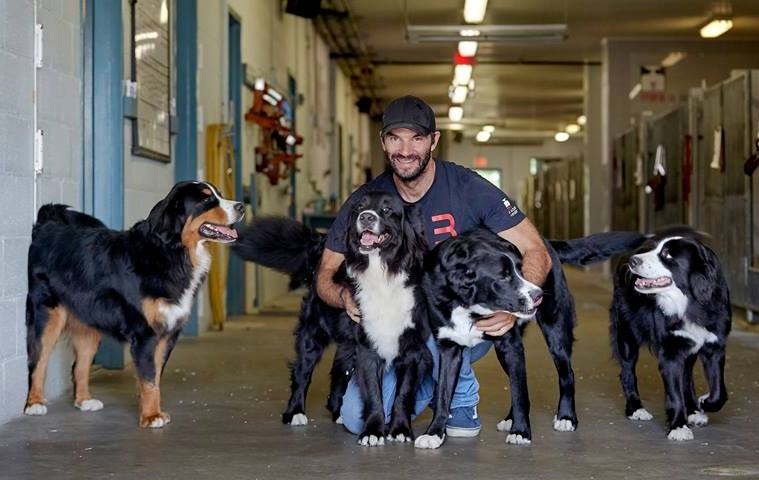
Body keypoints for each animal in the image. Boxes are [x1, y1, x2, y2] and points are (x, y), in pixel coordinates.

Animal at [24, 180, 243, 428]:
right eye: (206, 199)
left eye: (220, 194)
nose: (241, 206)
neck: (171, 253)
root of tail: (47, 227)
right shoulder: (145, 332)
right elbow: (149, 378)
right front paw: (151, 416)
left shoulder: (167, 334)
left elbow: (154, 376)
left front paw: (149, 409)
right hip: (47, 317)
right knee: (38, 362)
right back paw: (35, 404)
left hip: (89, 324)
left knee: (78, 366)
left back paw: (85, 400)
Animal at [412, 229, 652, 450]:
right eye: (503, 276)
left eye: (521, 269)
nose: (538, 296)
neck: (468, 305)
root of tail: (547, 241)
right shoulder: (449, 348)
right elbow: (443, 394)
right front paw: (434, 433)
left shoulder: (510, 344)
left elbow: (520, 394)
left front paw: (521, 432)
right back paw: (510, 419)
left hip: (556, 330)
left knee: (566, 375)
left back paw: (566, 417)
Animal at [612, 231, 732, 440]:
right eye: (655, 248)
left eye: (667, 255)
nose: (633, 261)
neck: (689, 302)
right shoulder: (671, 352)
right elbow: (675, 394)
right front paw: (678, 427)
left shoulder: (714, 346)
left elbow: (719, 392)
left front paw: (703, 403)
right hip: (626, 335)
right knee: (627, 370)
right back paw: (636, 409)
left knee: (687, 377)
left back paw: (693, 411)